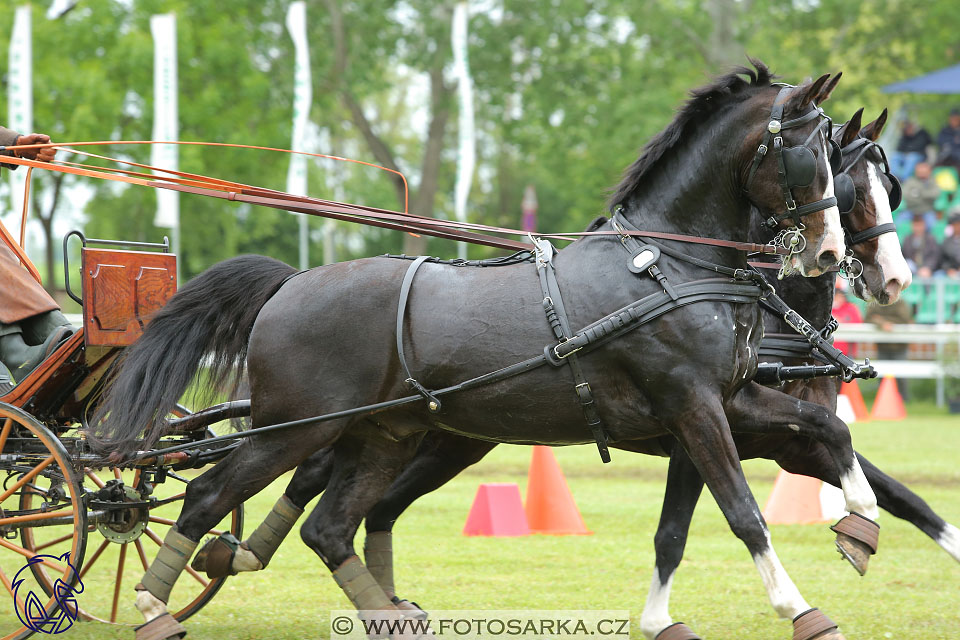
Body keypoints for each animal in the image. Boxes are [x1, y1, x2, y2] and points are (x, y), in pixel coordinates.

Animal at [90, 61, 864, 640]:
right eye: (810, 157)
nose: (830, 255)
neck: (667, 264)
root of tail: (292, 283)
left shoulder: (727, 398)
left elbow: (827, 429)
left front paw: (858, 522)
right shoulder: (693, 406)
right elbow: (743, 511)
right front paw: (801, 608)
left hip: (383, 436)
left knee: (331, 528)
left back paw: (384, 614)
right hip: (295, 429)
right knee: (207, 495)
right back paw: (154, 605)